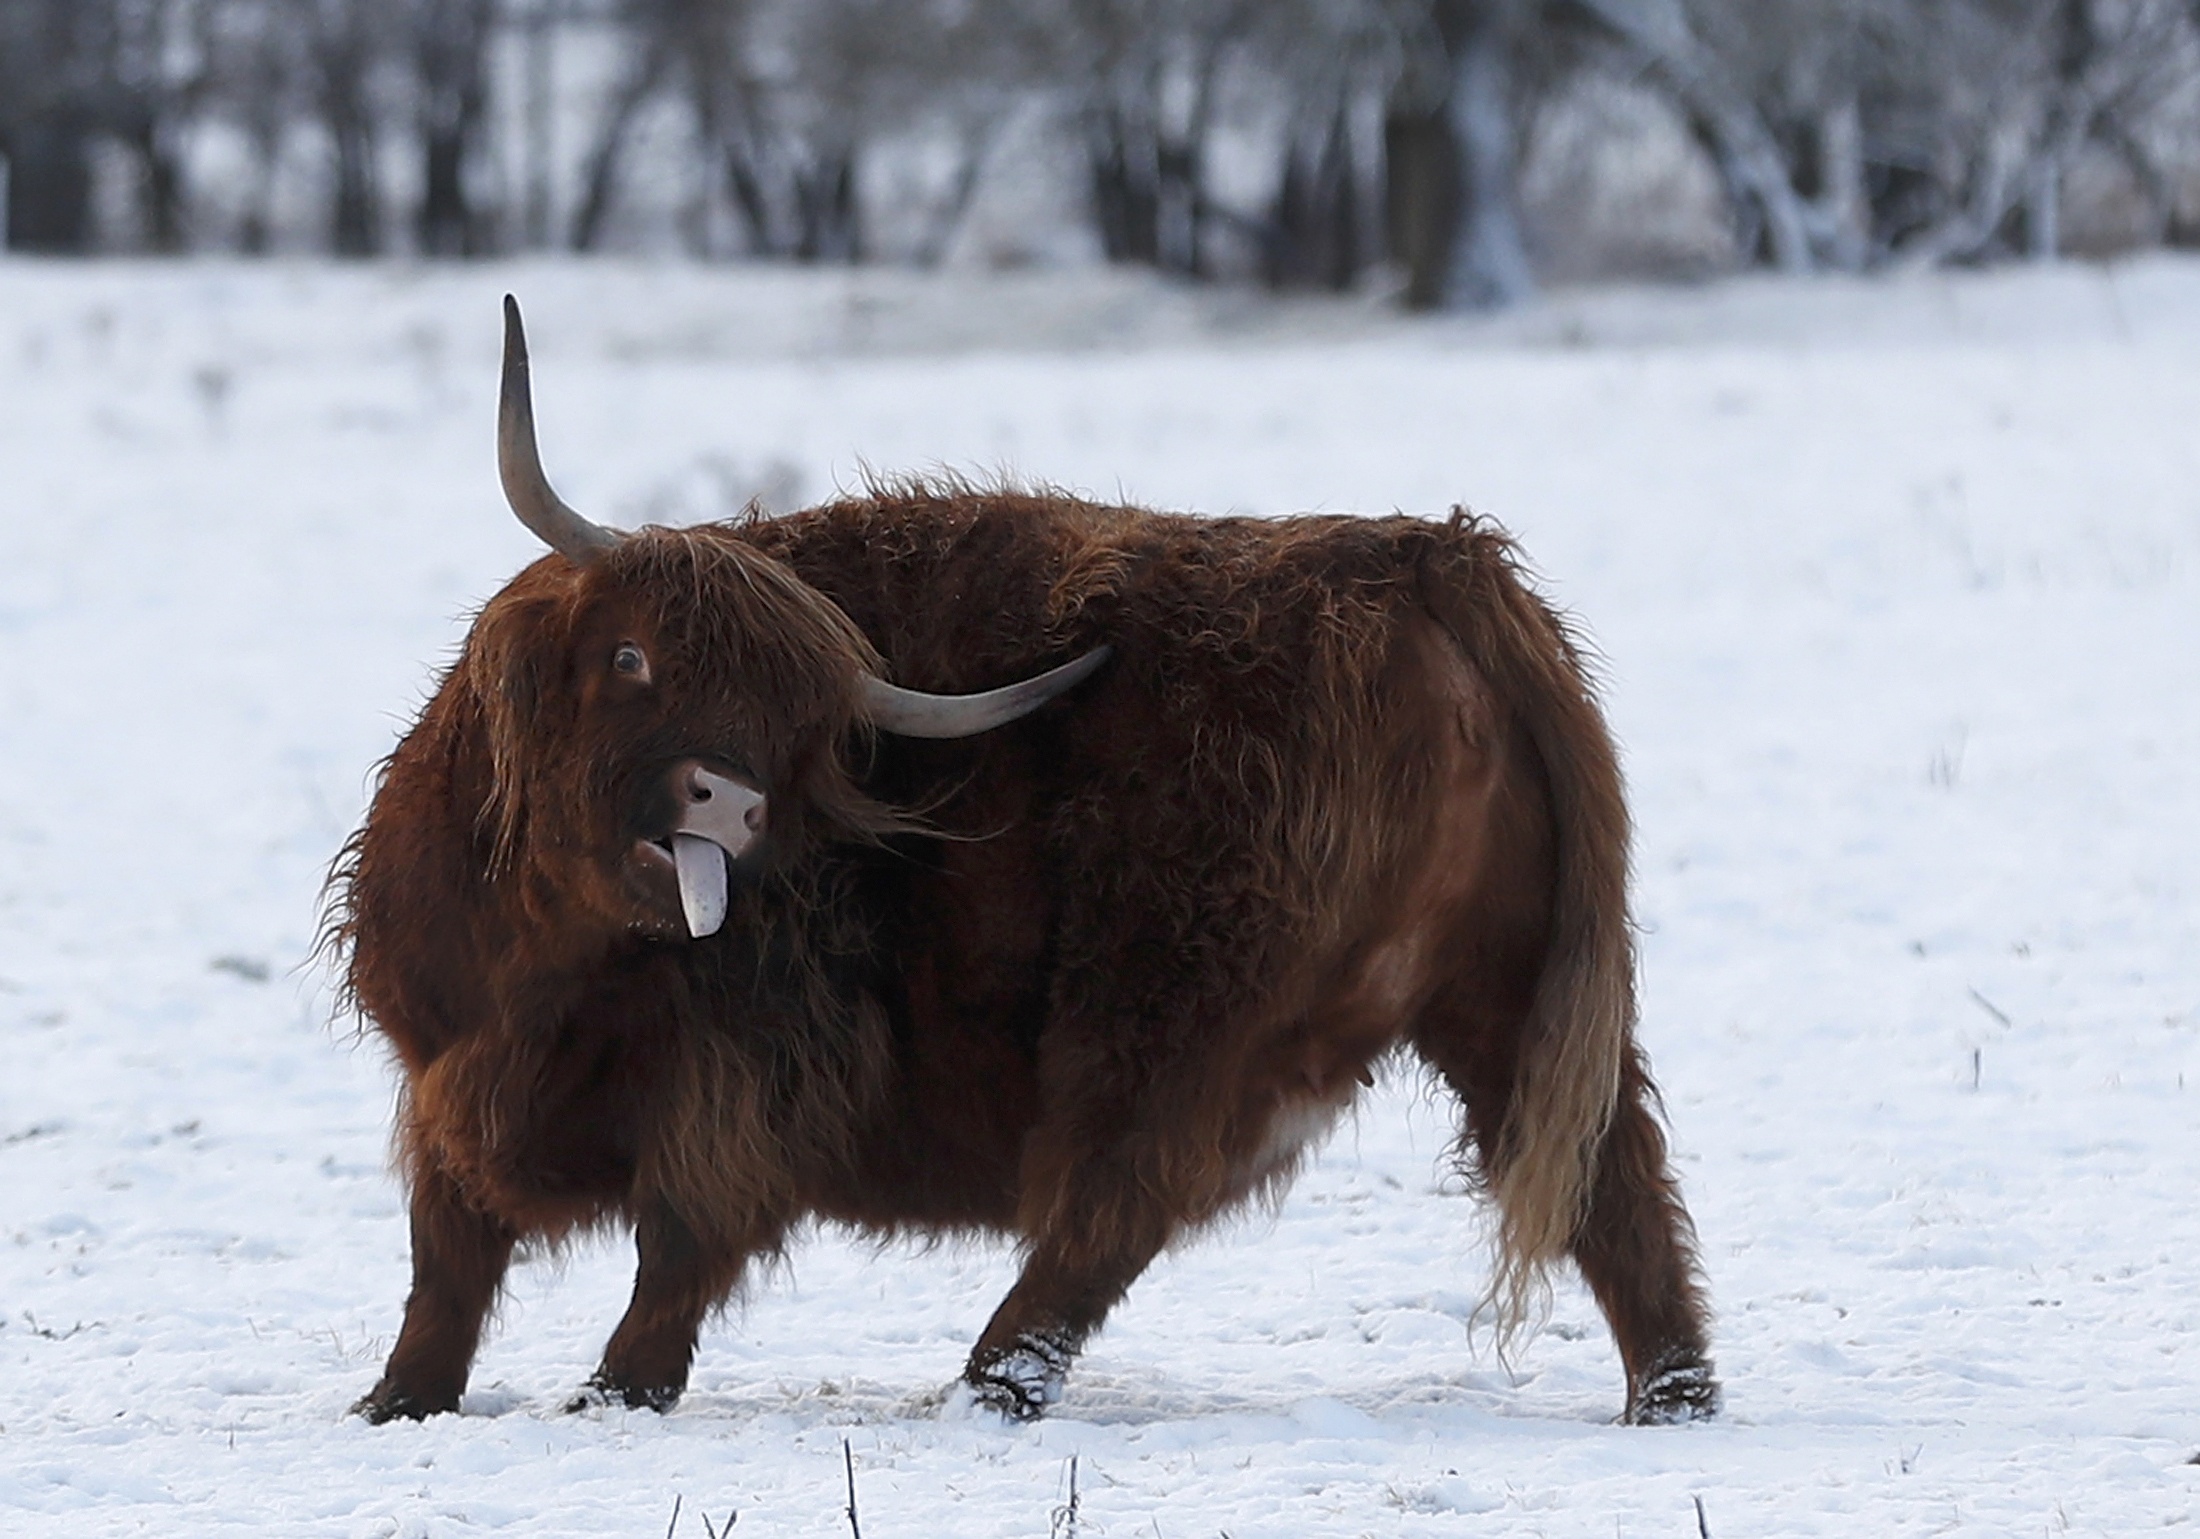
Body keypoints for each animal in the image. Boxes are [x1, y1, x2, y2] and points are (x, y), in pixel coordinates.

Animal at [334, 301, 1724, 1433]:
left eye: (793, 731)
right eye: (632, 658)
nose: (728, 800)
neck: (547, 966)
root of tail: (1426, 562)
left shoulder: (750, 1074)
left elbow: (681, 1239)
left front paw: (616, 1392)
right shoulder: (440, 1070)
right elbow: (446, 1250)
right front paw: (400, 1399)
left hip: (1176, 996)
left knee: (1115, 1201)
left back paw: (987, 1387)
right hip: (1505, 985)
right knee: (1613, 1178)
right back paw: (1673, 1398)